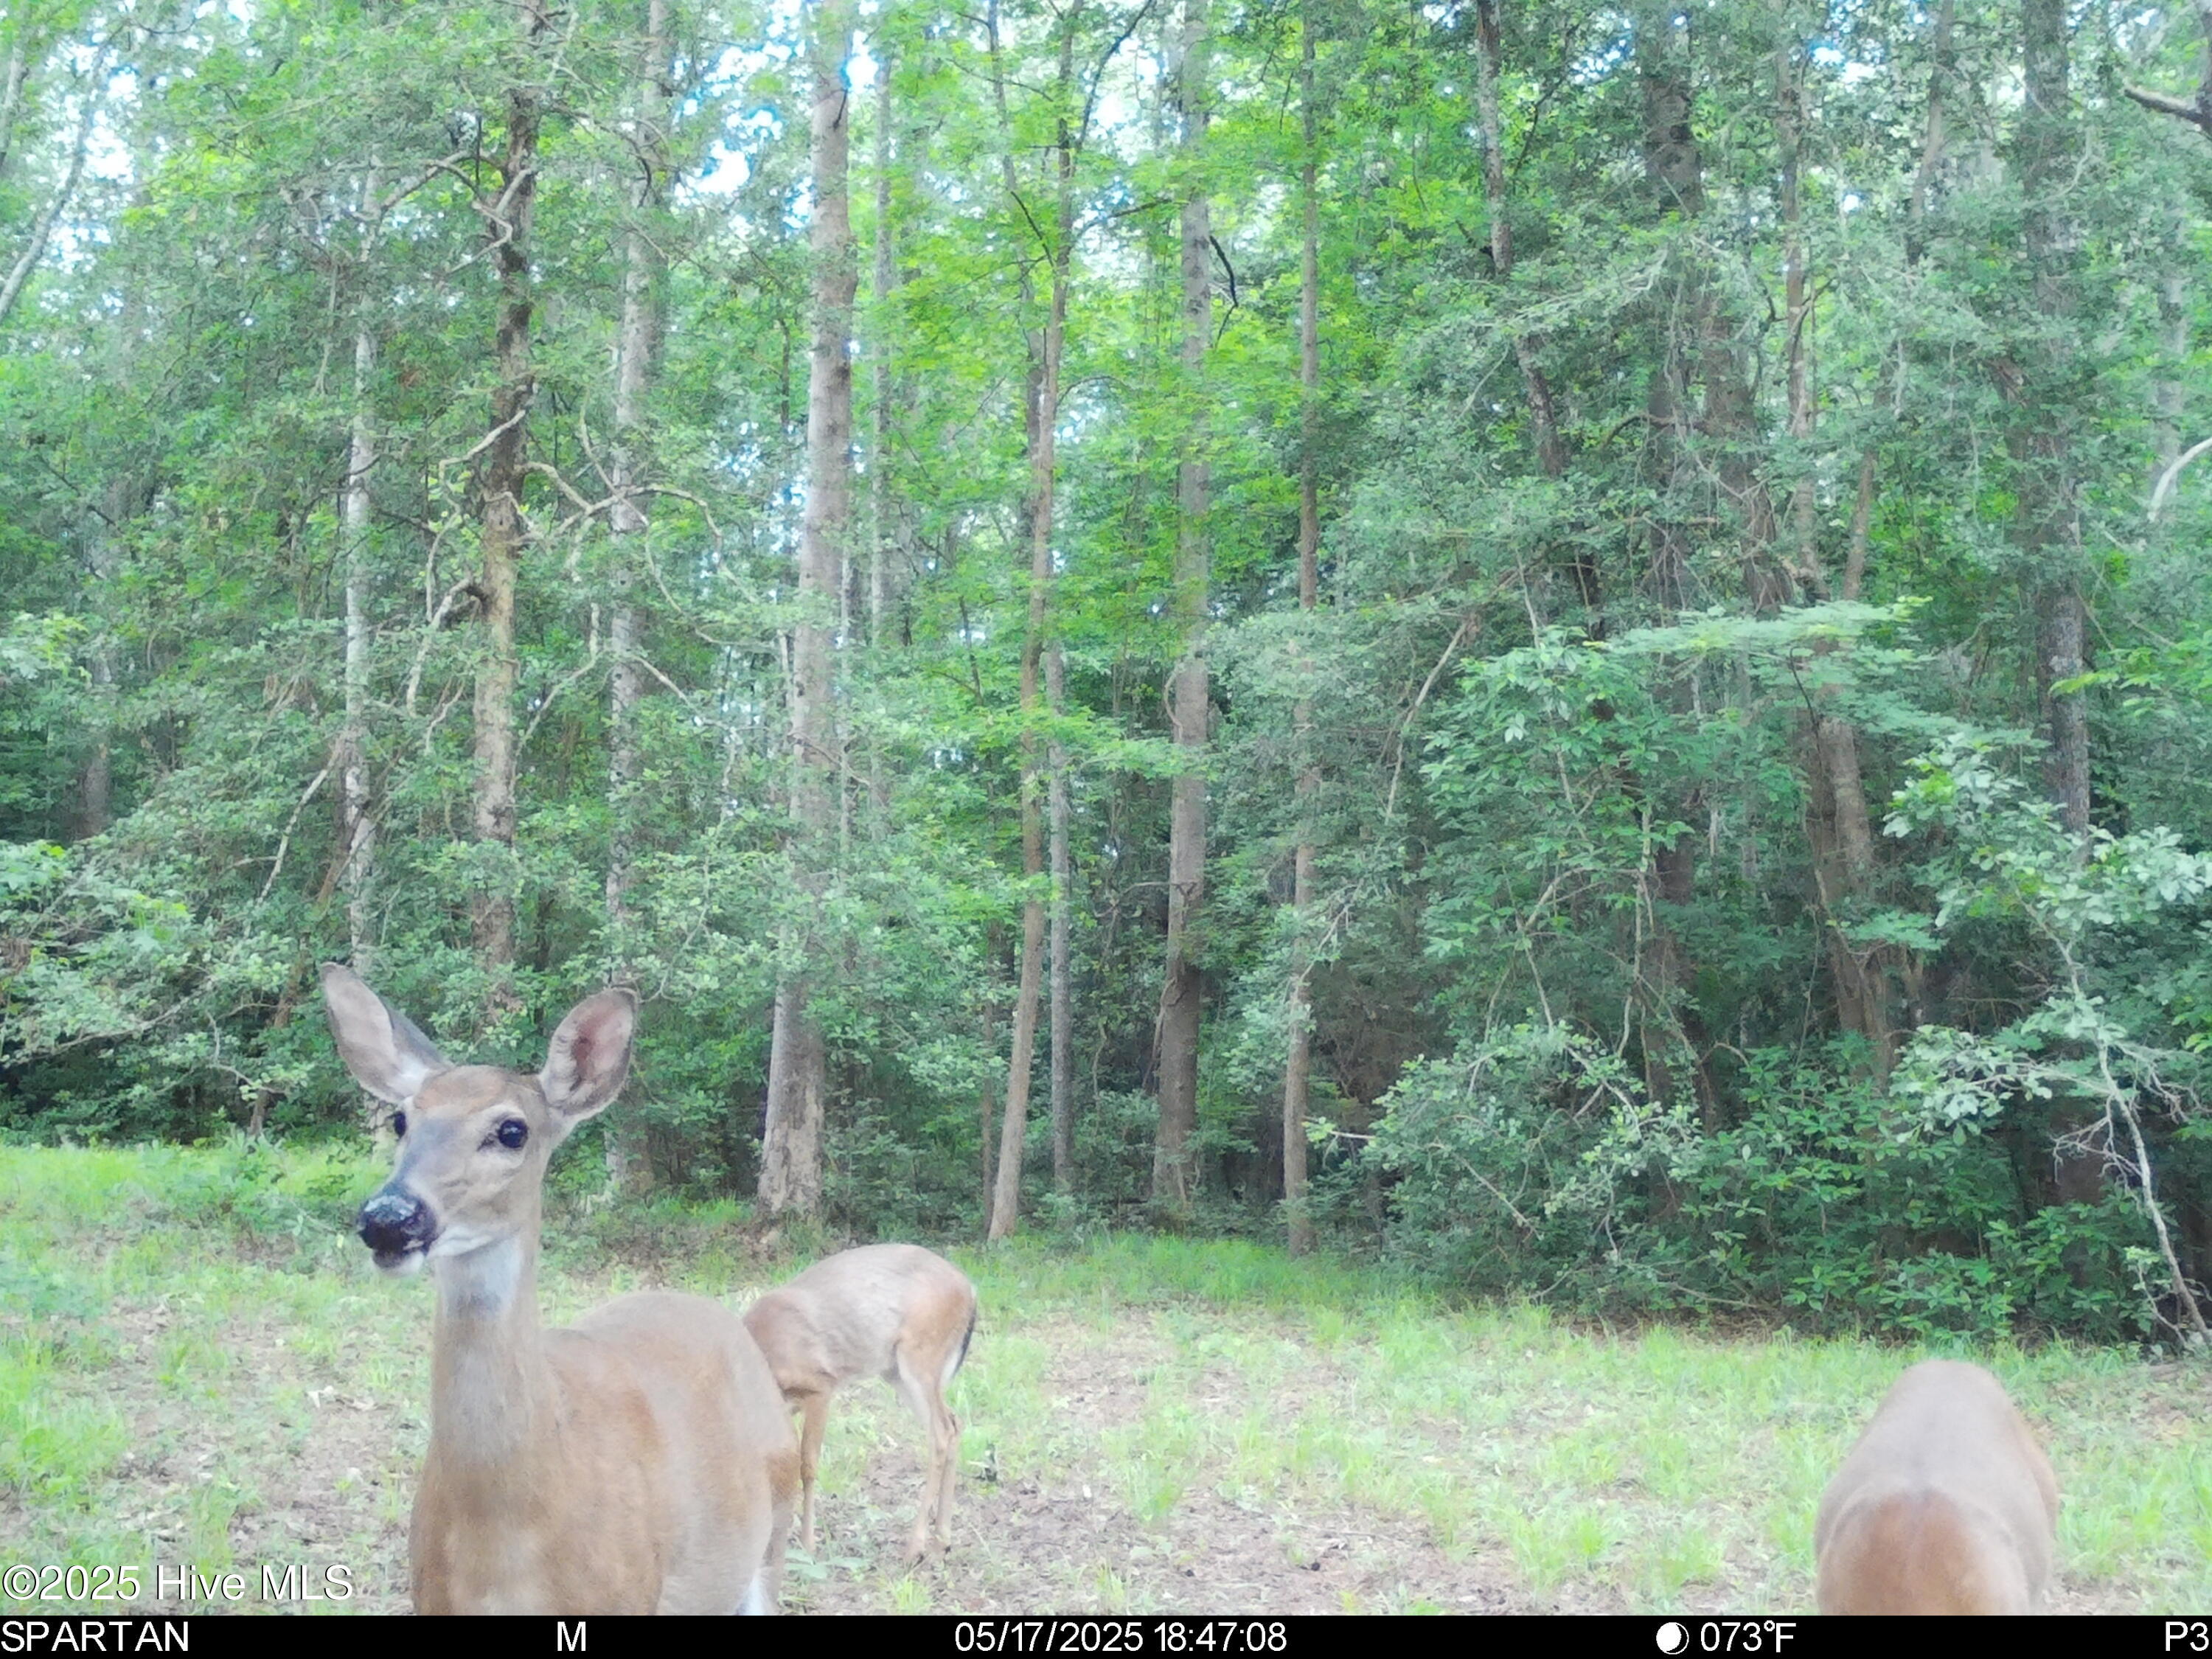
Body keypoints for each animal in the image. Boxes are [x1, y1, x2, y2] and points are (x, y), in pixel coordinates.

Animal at [743, 1243, 978, 1565]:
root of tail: (970, 1290)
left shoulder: (820, 1385)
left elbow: (808, 1465)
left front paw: (807, 1544)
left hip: (921, 1355)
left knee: (941, 1433)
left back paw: (915, 1547)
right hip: (896, 1370)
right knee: (954, 1423)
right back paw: (942, 1540)